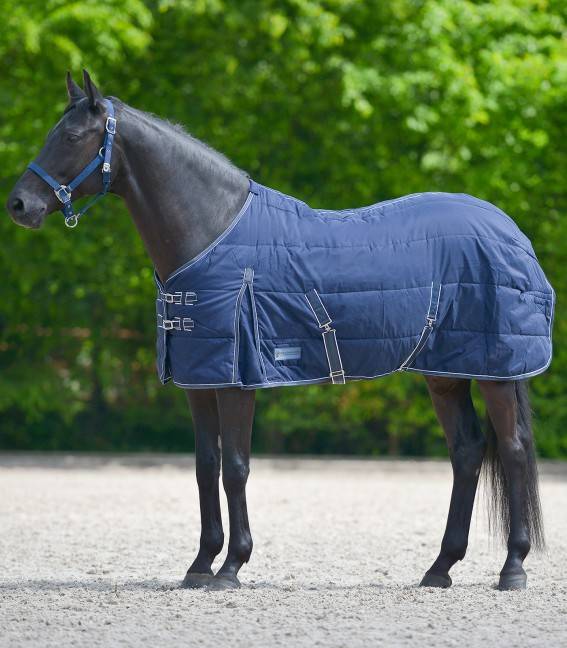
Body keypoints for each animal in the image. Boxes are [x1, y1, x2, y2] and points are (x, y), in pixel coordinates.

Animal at [7, 70, 552, 591]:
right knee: (467, 452)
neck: (211, 232)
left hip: (497, 373)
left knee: (513, 451)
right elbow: (206, 466)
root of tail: (511, 233)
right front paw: (200, 566)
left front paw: (231, 567)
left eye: (72, 136)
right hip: (444, 374)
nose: (19, 205)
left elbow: (235, 468)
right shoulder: (199, 382)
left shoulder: (236, 380)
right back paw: (439, 569)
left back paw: (513, 569)